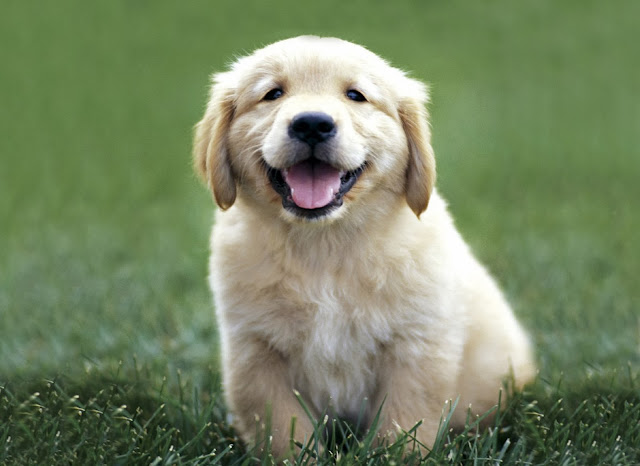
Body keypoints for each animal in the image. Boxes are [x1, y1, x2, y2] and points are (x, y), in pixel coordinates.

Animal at [191, 36, 536, 458]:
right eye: (272, 93)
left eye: (356, 95)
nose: (312, 123)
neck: (323, 245)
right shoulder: (255, 349)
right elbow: (282, 427)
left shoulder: (417, 344)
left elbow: (404, 420)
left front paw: (396, 456)